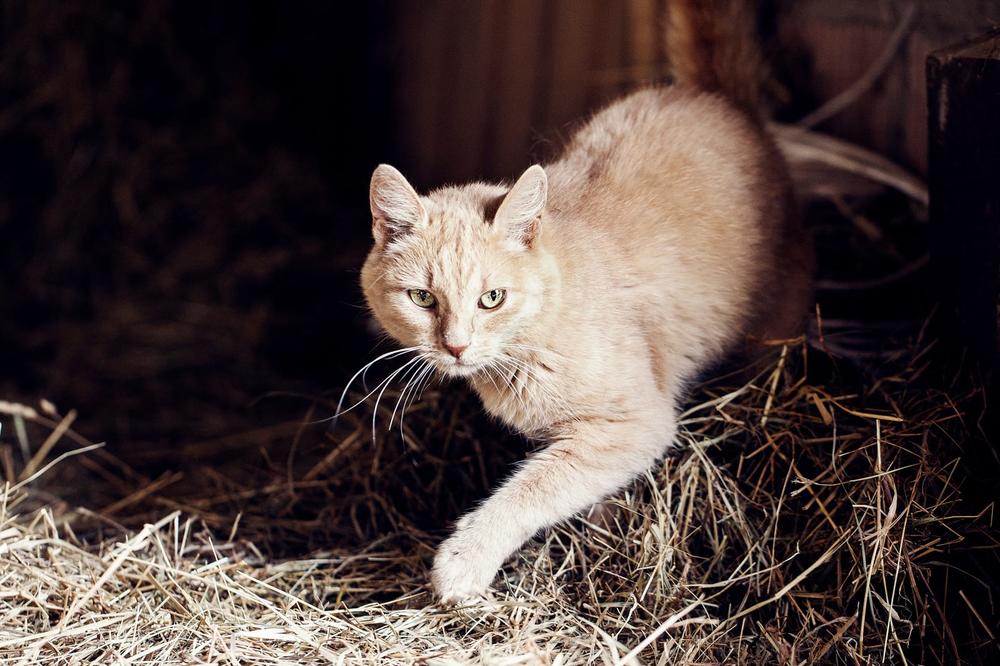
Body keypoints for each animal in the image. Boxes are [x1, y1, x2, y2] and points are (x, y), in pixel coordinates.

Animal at [356, 0, 808, 600]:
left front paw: (465, 559)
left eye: (492, 298)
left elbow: (535, 488)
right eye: (423, 298)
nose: (456, 347)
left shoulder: (632, 426)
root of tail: (716, 96)